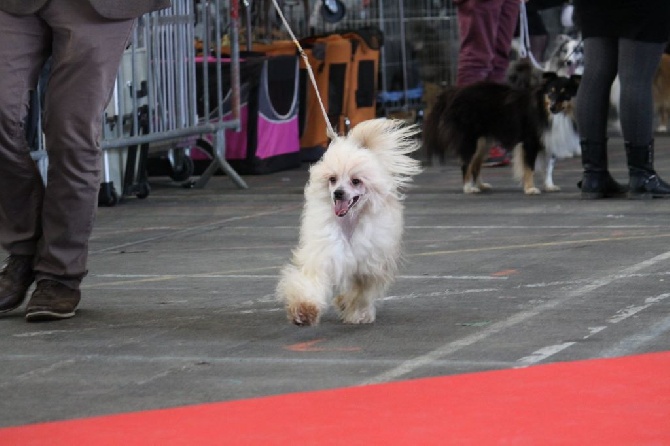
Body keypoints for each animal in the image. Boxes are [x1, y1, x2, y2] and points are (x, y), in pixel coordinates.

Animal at [276, 118, 422, 328]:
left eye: (355, 181)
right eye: (332, 179)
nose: (338, 193)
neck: (349, 222)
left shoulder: (367, 267)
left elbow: (361, 292)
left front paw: (356, 312)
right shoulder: (325, 254)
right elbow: (312, 282)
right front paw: (304, 311)